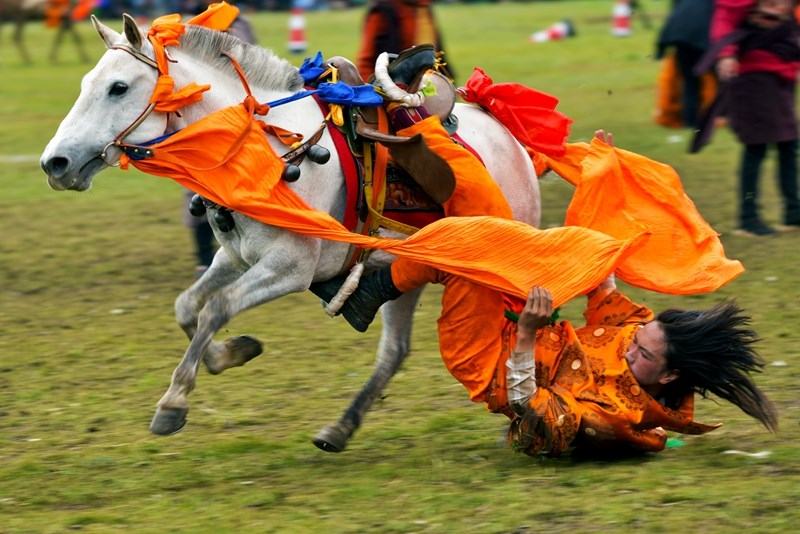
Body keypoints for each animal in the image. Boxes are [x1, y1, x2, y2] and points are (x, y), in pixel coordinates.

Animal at [40, 12, 540, 454]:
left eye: (118, 87)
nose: (54, 163)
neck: (262, 152)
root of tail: (508, 137)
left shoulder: (290, 268)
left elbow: (216, 307)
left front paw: (173, 402)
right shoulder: (234, 258)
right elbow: (187, 305)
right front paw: (230, 353)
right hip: (405, 270)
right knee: (395, 350)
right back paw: (340, 429)